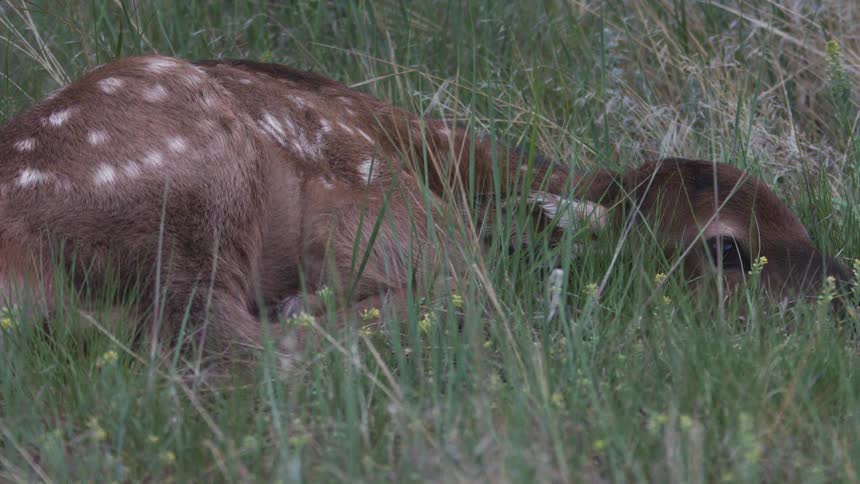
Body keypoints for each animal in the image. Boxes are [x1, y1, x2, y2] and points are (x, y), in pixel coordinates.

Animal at [0, 55, 851, 359]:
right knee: (208, 335)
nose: (844, 298)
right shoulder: (386, 216)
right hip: (197, 183)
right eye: (725, 247)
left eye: (798, 220)